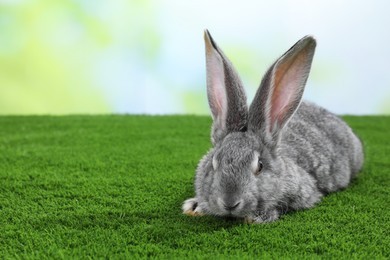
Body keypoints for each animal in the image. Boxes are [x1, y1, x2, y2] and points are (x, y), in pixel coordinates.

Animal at [181, 29, 364, 223]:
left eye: (260, 166)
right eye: (214, 163)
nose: (230, 202)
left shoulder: (305, 192)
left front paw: (256, 217)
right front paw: (195, 207)